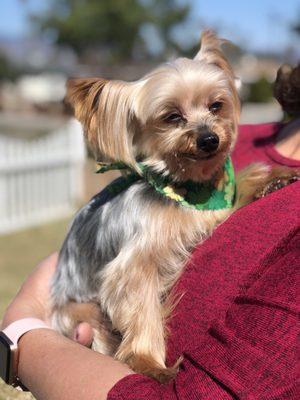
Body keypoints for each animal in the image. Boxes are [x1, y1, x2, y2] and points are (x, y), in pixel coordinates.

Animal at [50, 31, 294, 382]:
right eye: (172, 117)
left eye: (216, 106)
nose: (209, 139)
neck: (187, 188)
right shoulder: (134, 265)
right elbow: (143, 310)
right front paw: (150, 364)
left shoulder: (214, 210)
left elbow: (240, 189)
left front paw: (273, 179)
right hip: (80, 312)